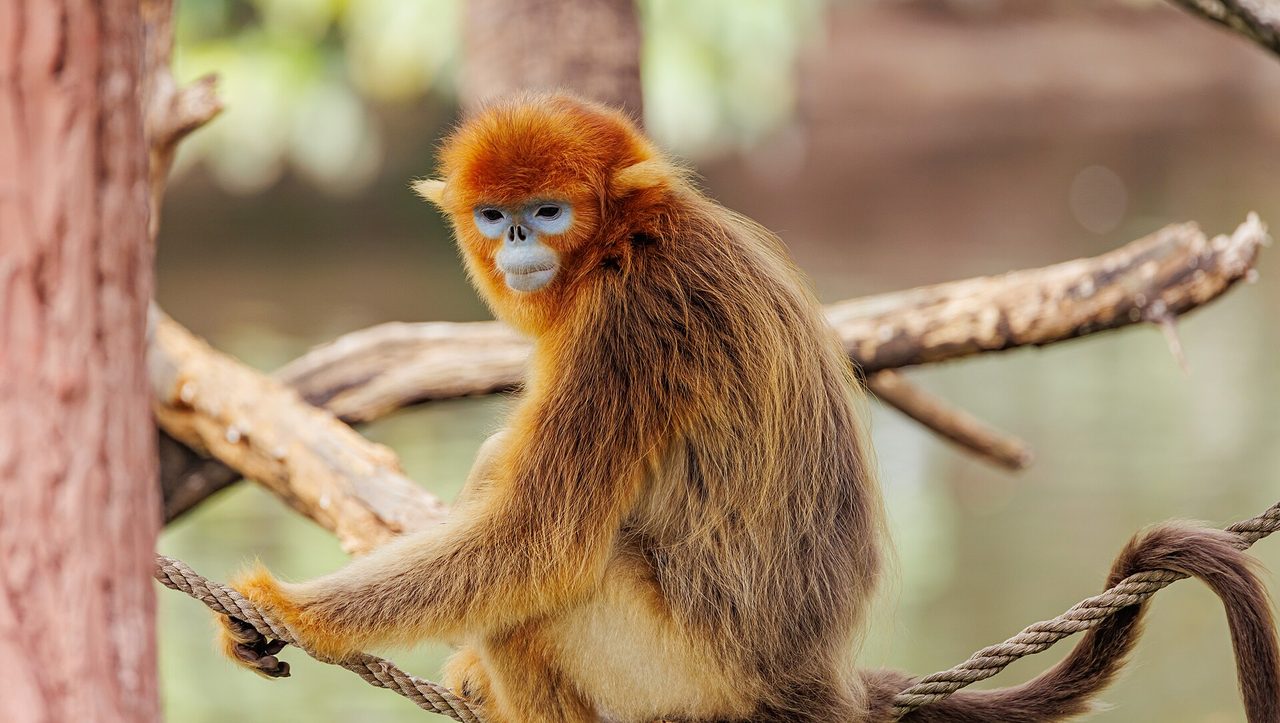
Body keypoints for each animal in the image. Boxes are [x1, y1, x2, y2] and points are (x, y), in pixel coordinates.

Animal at [218, 92, 1280, 722]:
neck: (635, 240)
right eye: (495, 214)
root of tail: (816, 683)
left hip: (681, 673)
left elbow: (536, 540)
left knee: (541, 586)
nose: (518, 237)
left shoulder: (628, 326)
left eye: (548, 212)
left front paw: (293, 608)